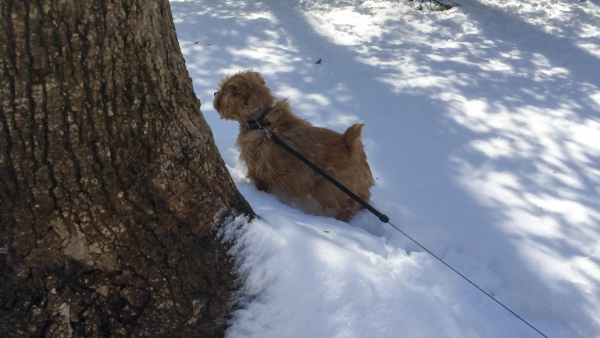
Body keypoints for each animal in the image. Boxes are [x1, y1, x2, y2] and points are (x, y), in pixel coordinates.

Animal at [212, 71, 376, 222]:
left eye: (224, 92)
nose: (215, 93)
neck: (261, 120)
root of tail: (348, 144)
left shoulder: (257, 167)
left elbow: (260, 182)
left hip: (327, 188)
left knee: (348, 204)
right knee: (364, 196)